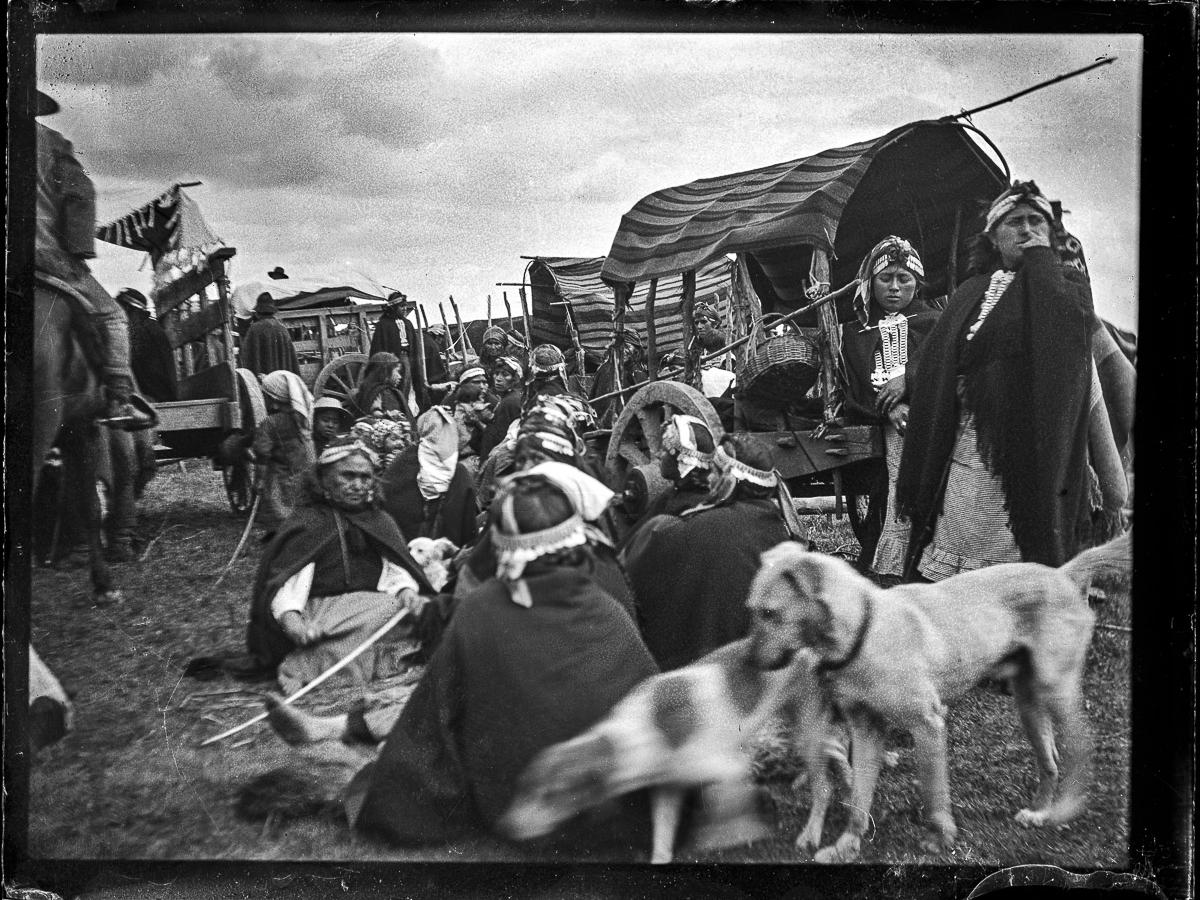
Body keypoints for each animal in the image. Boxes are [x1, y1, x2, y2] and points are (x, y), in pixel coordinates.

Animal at [492, 643, 840, 868]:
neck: (637, 731)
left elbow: (726, 810)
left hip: (808, 727)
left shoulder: (729, 768)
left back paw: (811, 832)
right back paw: (801, 780)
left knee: (825, 787)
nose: (505, 827)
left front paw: (733, 833)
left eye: (551, 795)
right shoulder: (667, 789)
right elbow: (661, 840)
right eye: (523, 786)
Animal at [744, 532, 1128, 864]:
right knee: (1050, 761)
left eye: (769, 613)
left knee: (1081, 747)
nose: (749, 663)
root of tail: (1063, 574)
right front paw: (846, 846)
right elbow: (859, 797)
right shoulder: (866, 731)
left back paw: (1064, 810)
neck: (865, 631)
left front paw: (940, 837)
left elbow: (933, 791)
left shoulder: (928, 723)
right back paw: (1040, 813)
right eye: (752, 609)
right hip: (1028, 702)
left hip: (1055, 688)